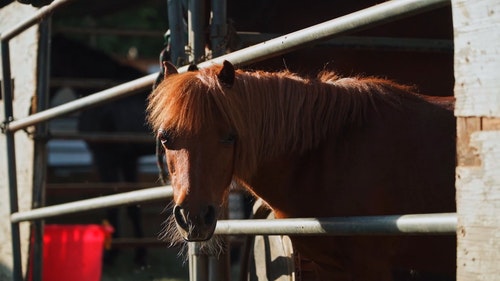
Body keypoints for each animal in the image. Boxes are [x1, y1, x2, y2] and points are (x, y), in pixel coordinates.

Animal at [50, 35, 153, 264]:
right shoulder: (128, 159)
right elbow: (132, 204)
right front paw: (140, 255)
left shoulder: (104, 157)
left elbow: (112, 202)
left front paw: (112, 255)